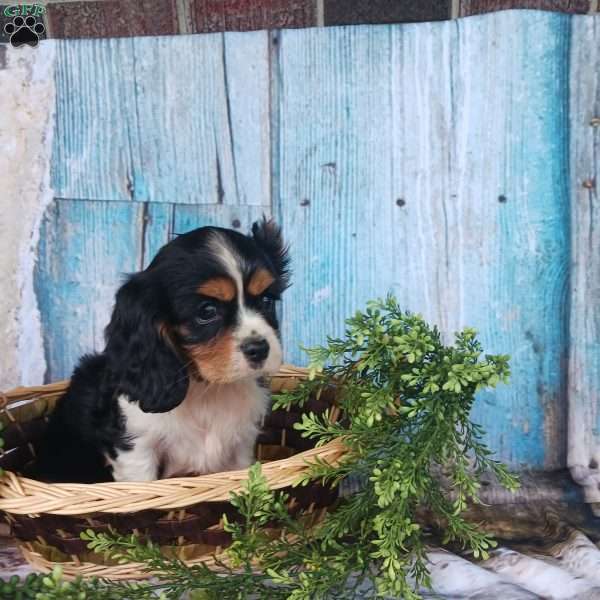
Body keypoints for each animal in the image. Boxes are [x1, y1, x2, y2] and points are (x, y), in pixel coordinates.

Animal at [34, 219, 292, 482]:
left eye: (267, 301)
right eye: (206, 311)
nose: (259, 348)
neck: (207, 390)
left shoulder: (241, 446)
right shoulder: (137, 449)